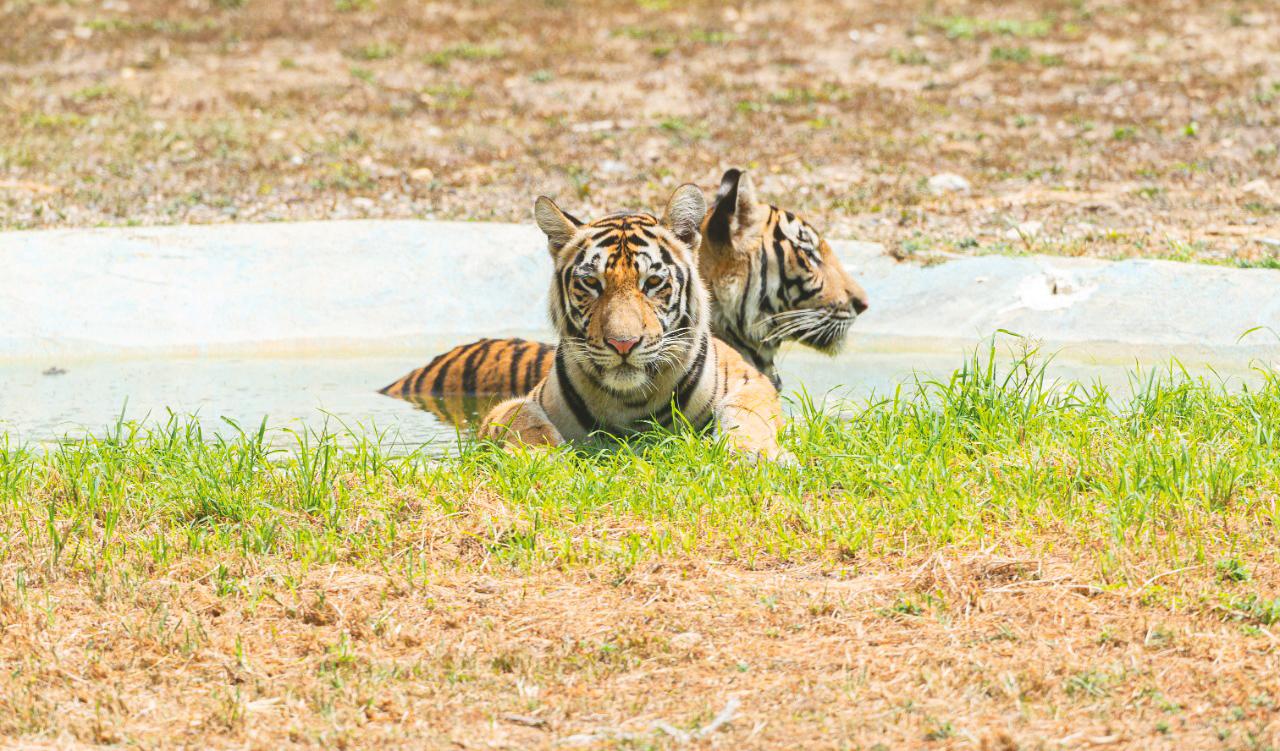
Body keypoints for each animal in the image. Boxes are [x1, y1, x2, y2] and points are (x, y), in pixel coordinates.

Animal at [480, 184, 788, 460]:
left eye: (652, 282)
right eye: (591, 282)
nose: (622, 344)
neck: (631, 401)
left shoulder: (752, 380)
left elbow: (747, 411)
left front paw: (755, 453)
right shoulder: (510, 406)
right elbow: (521, 418)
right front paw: (537, 456)